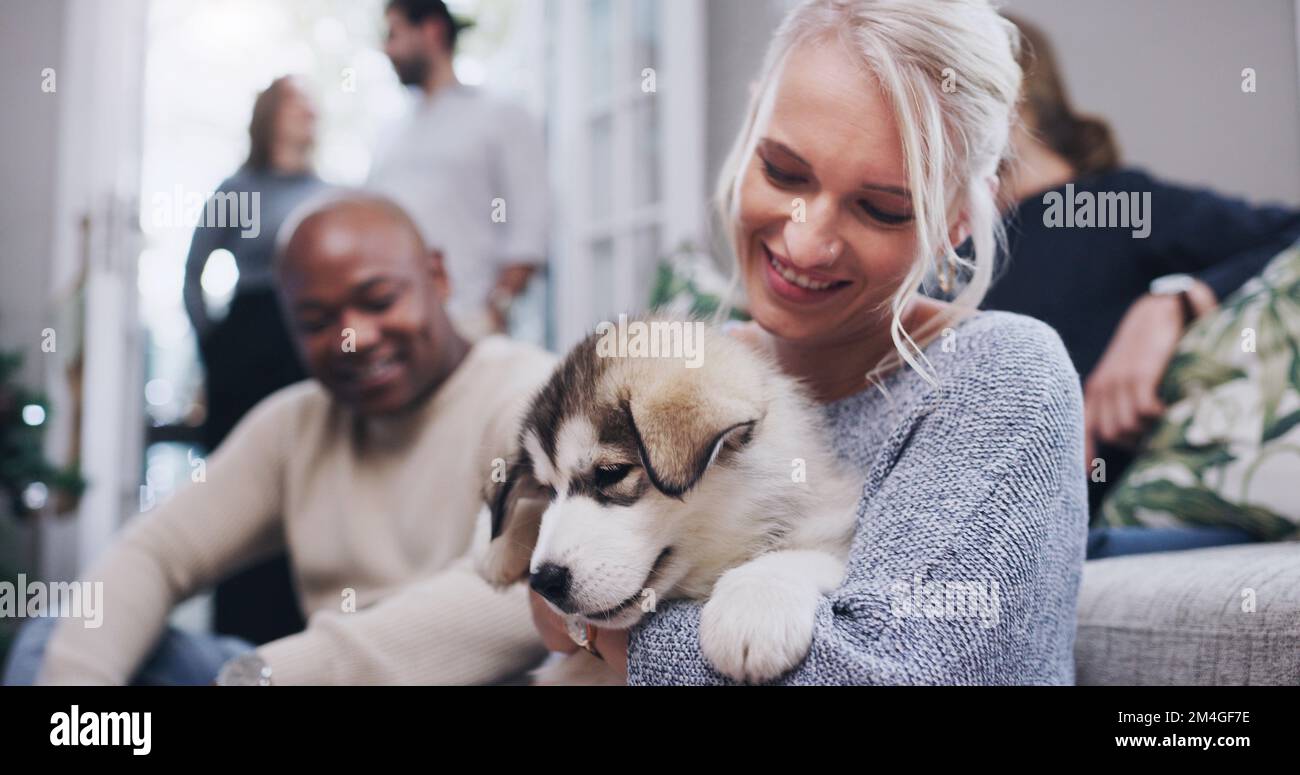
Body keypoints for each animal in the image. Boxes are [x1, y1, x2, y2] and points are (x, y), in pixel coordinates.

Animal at [483, 321, 857, 686]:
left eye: (611, 473)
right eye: (548, 489)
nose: (543, 581)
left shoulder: (832, 521)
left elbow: (800, 553)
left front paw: (753, 609)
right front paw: (497, 546)